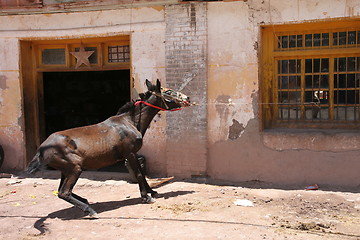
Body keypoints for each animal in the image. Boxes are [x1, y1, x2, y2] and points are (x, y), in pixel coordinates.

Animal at [25, 79, 191, 218]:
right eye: (168, 92)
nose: (188, 98)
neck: (129, 122)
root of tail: (41, 148)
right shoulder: (130, 153)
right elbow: (138, 174)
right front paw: (145, 197)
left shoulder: (133, 154)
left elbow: (142, 174)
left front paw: (151, 191)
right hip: (74, 169)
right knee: (64, 193)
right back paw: (89, 210)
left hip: (65, 170)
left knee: (61, 191)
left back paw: (85, 200)